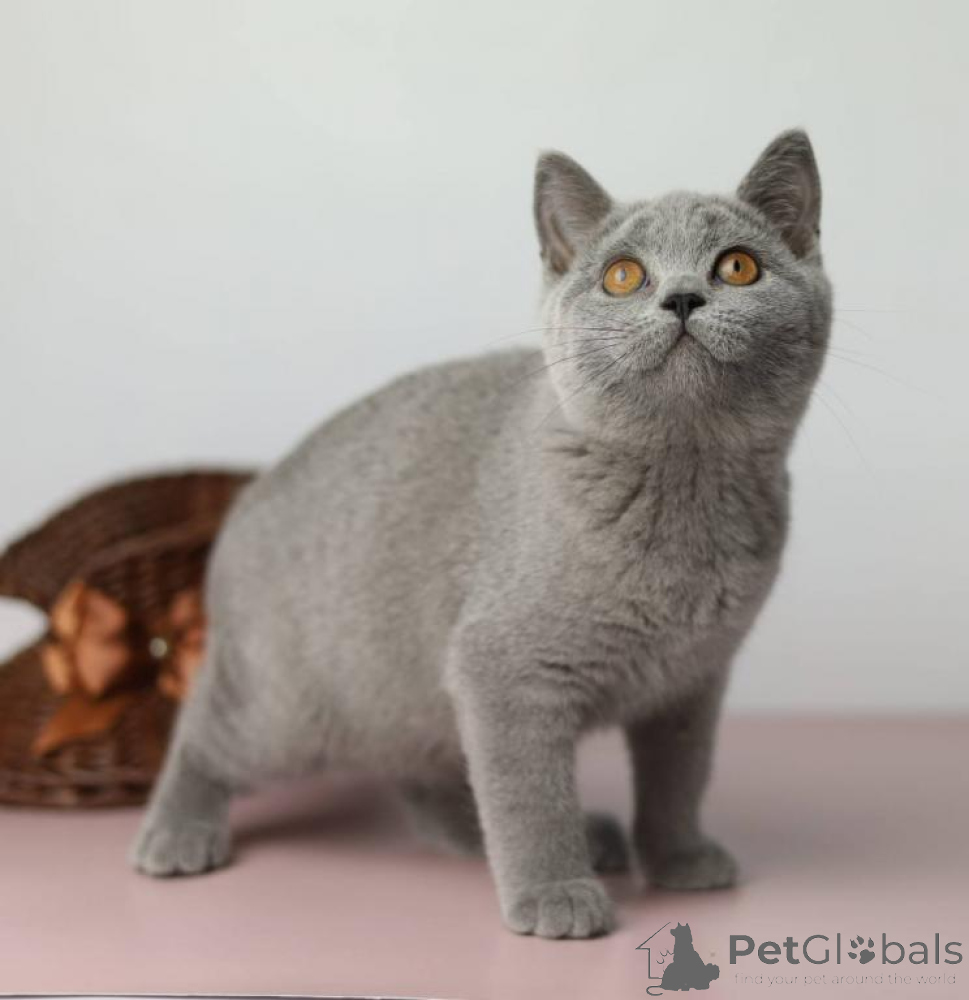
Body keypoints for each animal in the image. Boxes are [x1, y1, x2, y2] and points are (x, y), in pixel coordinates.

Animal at [131, 130, 831, 940]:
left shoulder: (689, 684)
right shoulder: (501, 672)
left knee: (429, 782)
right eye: (623, 275)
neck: (683, 490)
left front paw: (680, 857)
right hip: (289, 709)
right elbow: (528, 798)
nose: (683, 297)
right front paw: (556, 894)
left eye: (737, 266)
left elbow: (678, 780)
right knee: (202, 733)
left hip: (410, 702)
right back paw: (176, 835)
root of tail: (248, 496)